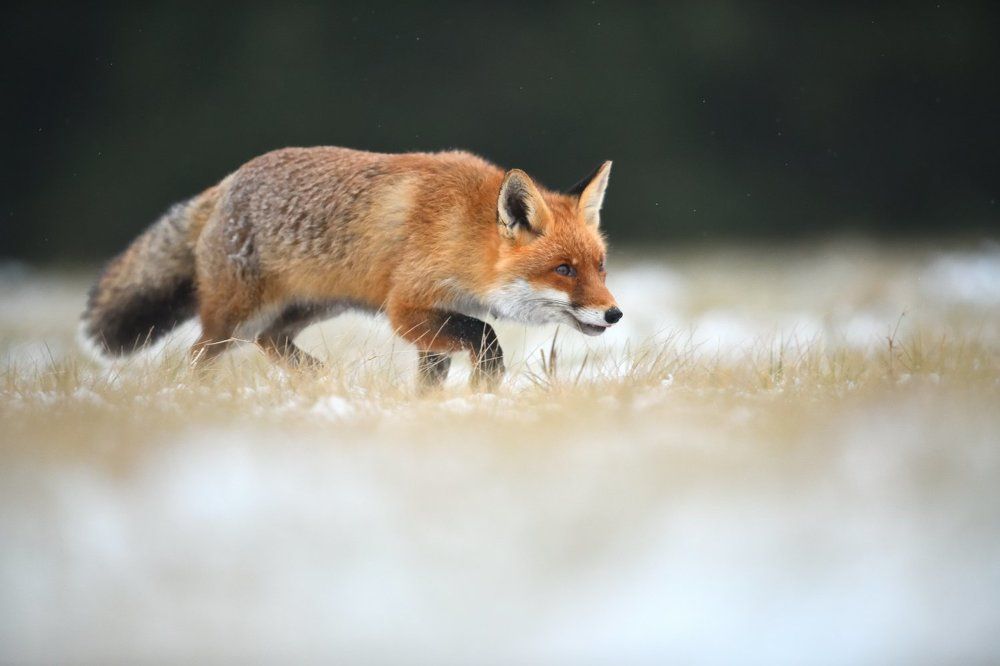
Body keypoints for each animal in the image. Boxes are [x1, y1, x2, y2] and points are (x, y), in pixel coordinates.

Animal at [80, 146, 622, 388]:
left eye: (600, 267)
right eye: (564, 270)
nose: (614, 314)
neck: (461, 231)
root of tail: (228, 181)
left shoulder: (431, 321)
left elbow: (433, 376)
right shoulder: (406, 308)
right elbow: (485, 336)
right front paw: (485, 386)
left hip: (309, 307)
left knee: (272, 343)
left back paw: (319, 379)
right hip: (233, 321)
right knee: (198, 356)